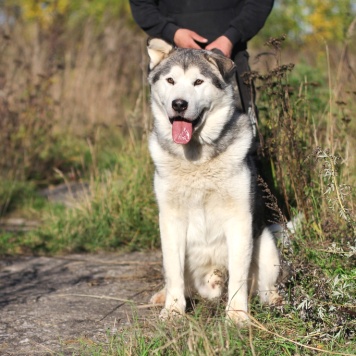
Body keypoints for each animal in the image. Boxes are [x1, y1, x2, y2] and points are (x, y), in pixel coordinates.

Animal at [146, 37, 280, 324]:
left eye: (198, 82)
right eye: (171, 80)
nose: (179, 104)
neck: (197, 159)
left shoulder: (239, 218)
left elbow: (239, 275)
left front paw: (237, 315)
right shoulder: (170, 219)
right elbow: (173, 271)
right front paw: (173, 310)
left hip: (266, 245)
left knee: (266, 286)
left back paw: (275, 301)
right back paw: (163, 295)